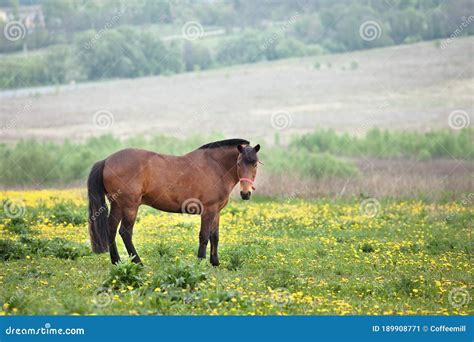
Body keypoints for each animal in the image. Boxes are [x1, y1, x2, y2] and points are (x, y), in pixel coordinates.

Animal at [87, 138, 262, 264]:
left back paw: (116, 262)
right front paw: (200, 262)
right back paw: (138, 262)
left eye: (255, 164)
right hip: (130, 206)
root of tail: (106, 160)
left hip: (117, 205)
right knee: (125, 232)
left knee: (111, 229)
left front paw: (215, 263)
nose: (245, 193)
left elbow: (215, 236)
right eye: (238, 163)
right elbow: (204, 236)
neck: (215, 166)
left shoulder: (216, 211)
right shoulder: (208, 210)